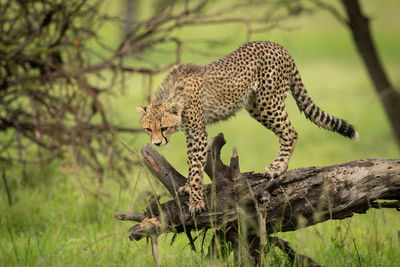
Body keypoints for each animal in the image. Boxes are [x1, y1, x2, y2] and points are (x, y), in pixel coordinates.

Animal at [138, 40, 360, 215]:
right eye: (149, 129)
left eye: (164, 128)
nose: (157, 144)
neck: (172, 95)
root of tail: (276, 45)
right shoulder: (190, 134)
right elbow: (192, 161)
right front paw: (187, 187)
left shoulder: (198, 132)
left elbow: (196, 166)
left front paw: (196, 201)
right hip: (255, 104)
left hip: (267, 101)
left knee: (291, 132)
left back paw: (278, 167)